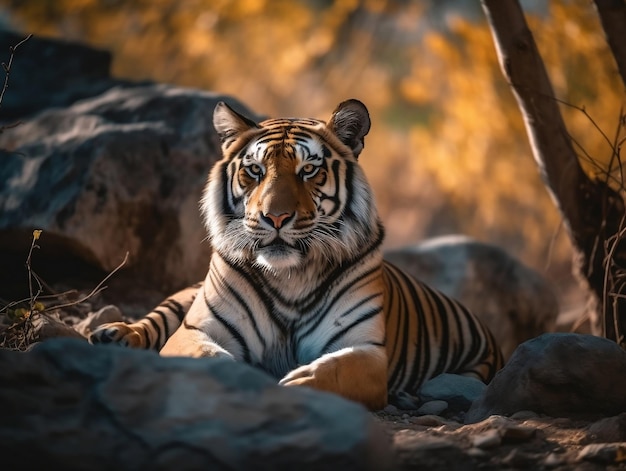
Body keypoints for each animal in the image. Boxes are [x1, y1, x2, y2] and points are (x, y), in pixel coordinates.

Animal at [89, 98, 502, 410]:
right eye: (255, 171)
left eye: (308, 171)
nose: (275, 217)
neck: (289, 274)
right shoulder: (196, 331)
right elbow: (209, 359)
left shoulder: (365, 351)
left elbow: (330, 372)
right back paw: (114, 334)